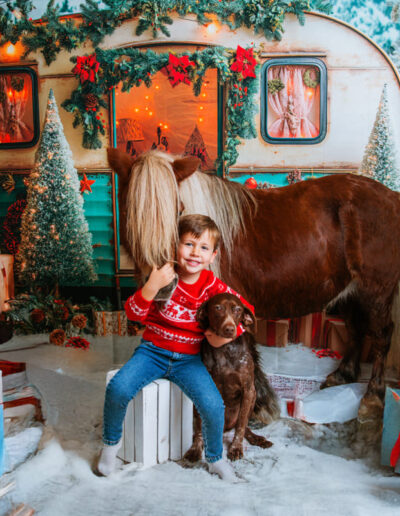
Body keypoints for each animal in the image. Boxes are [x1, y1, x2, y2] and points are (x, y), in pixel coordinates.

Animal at [108, 148, 400, 432]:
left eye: (179, 210)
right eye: (129, 212)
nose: (162, 285)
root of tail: (391, 197)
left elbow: (246, 354)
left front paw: (258, 407)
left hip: (376, 291)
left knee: (382, 335)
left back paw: (373, 397)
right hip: (352, 290)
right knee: (355, 328)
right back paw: (343, 375)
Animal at [184, 292, 278, 462]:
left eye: (238, 310)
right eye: (218, 308)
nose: (229, 329)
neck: (224, 348)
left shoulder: (248, 390)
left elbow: (241, 426)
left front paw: (235, 448)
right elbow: (199, 426)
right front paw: (196, 448)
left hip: (252, 399)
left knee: (244, 426)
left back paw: (257, 439)